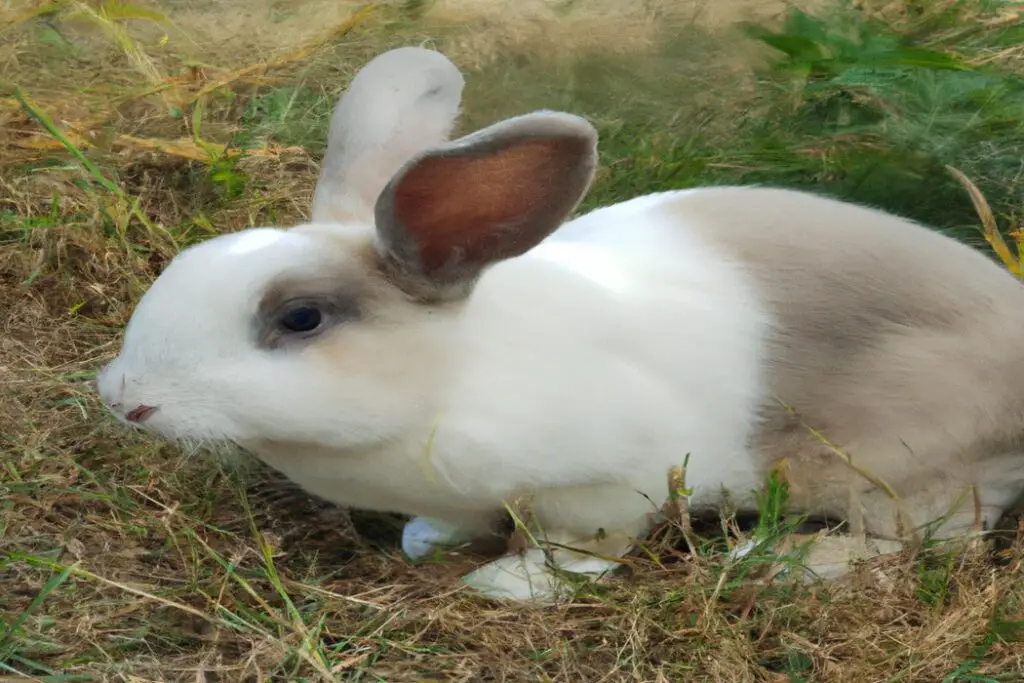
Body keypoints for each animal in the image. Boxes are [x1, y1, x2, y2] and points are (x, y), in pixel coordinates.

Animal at [96, 45, 1024, 602]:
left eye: (299, 317)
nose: (125, 401)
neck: (453, 376)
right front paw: (426, 540)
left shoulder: (605, 487)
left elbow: (579, 548)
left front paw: (506, 586)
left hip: (901, 466)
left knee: (933, 539)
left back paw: (780, 561)